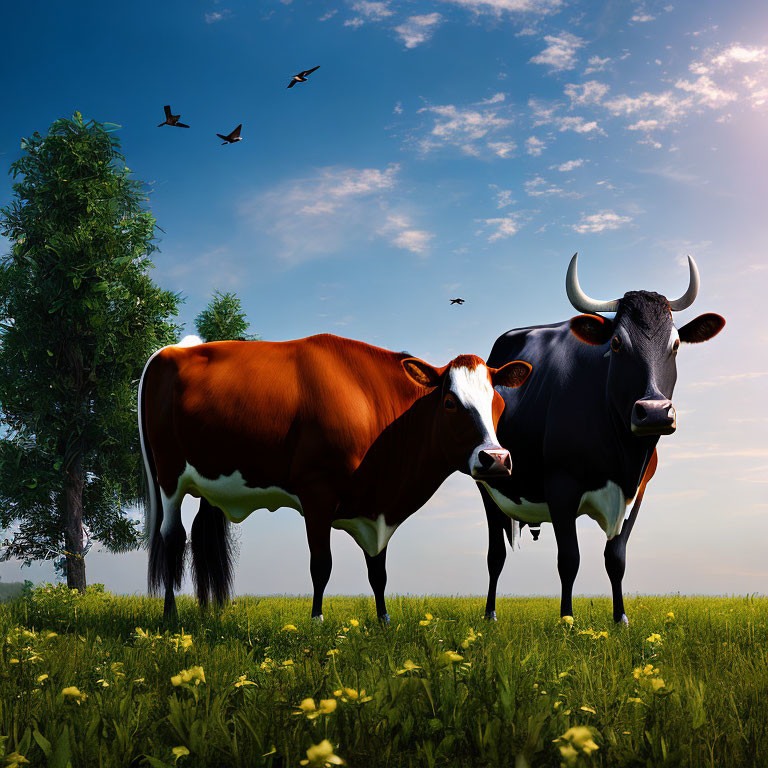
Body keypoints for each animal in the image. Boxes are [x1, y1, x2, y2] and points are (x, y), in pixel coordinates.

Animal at [138, 332, 532, 620]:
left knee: (200, 537)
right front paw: (317, 621)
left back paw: (208, 613)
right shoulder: (317, 491)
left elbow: (378, 570)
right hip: (170, 476)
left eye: (498, 404)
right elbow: (321, 564)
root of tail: (172, 349)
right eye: (450, 403)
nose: (496, 459)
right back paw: (170, 616)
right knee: (172, 537)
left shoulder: (376, 507)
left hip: (208, 481)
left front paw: (383, 621)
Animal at [480, 254, 728, 624]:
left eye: (676, 345)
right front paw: (567, 620)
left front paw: (620, 619)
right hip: (486, 482)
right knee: (495, 554)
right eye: (616, 343)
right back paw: (490, 615)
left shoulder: (637, 492)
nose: (655, 412)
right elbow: (569, 559)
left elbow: (616, 559)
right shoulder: (561, 487)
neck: (623, 456)